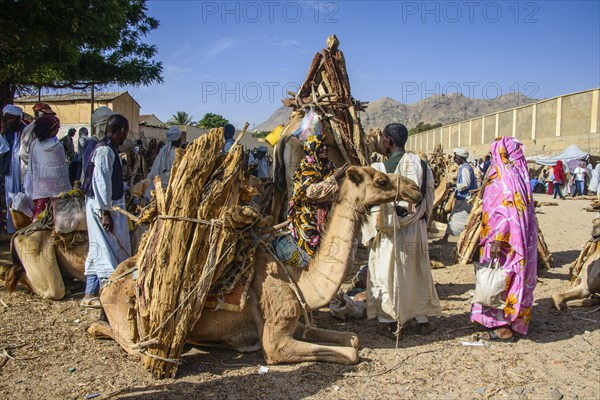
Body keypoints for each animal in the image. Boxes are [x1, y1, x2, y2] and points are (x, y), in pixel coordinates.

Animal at [88, 166, 422, 366]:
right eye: (381, 180)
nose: (415, 189)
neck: (300, 283)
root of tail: (110, 282)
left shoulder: (294, 318)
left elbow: (352, 338)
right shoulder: (276, 340)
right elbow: (351, 352)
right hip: (126, 309)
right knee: (132, 343)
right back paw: (97, 327)